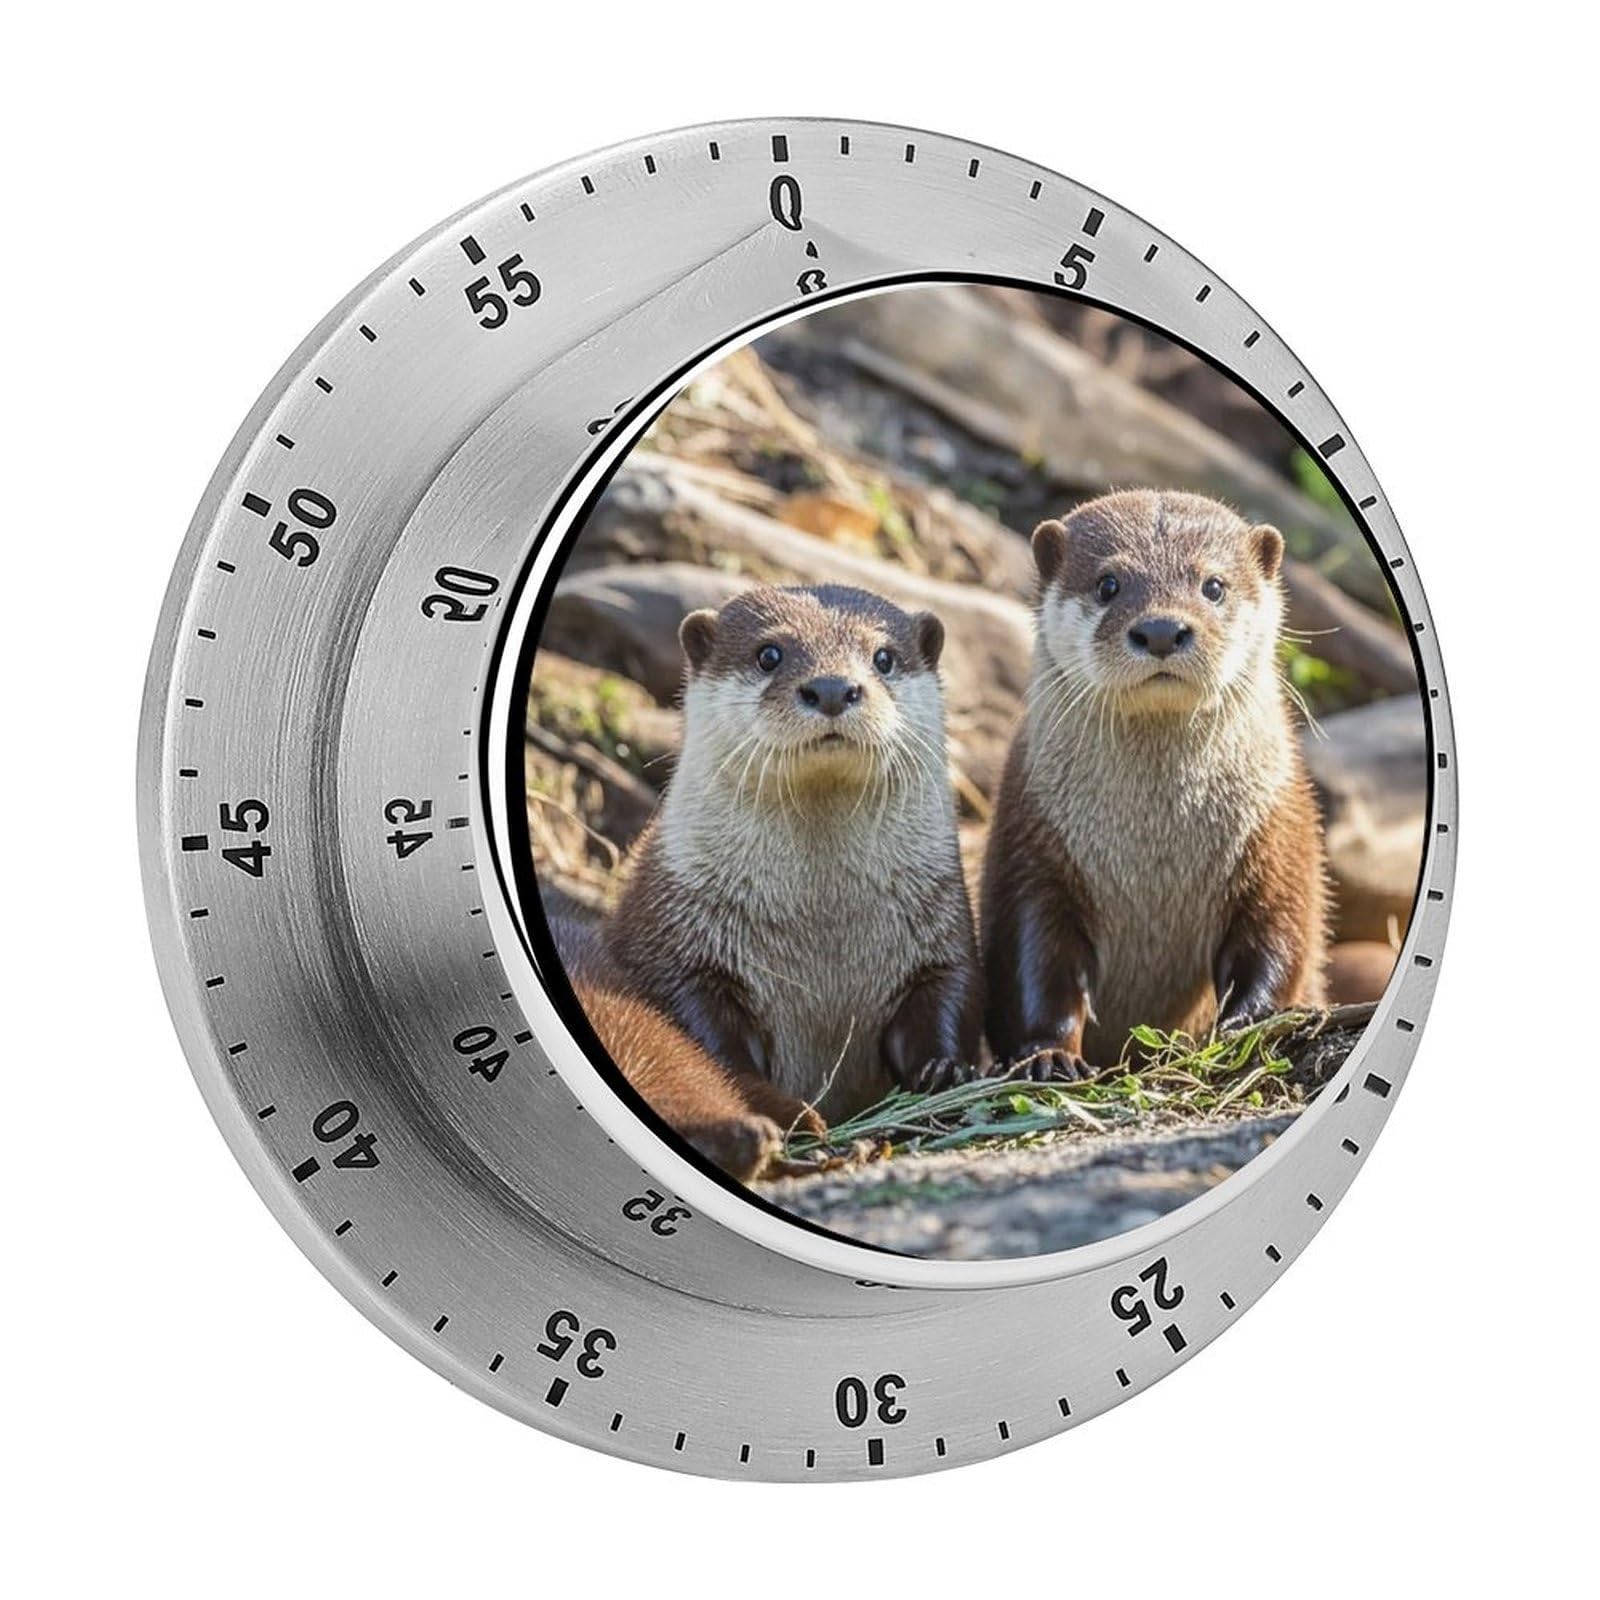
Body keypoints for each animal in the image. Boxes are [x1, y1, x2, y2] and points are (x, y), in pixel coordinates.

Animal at [600, 584, 983, 1150]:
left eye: (883, 657)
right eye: (769, 654)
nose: (832, 687)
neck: (822, 929)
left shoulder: (939, 922)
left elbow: (947, 992)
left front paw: (946, 1072)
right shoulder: (678, 940)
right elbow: (702, 1033)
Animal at [981, 490, 1327, 1074]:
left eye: (1213, 585)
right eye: (1108, 584)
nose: (1162, 629)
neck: (1156, 848)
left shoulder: (1279, 829)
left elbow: (1279, 931)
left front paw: (1253, 1021)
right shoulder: (1033, 841)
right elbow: (1038, 960)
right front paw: (1050, 1053)